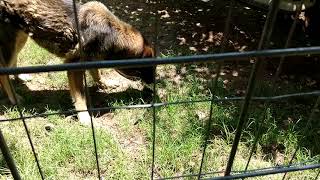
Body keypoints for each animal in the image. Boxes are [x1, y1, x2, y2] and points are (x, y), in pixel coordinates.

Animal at [0, 0, 155, 124]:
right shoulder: (74, 67)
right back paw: (14, 98)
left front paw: (105, 84)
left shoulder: (91, 61)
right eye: (148, 67)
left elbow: (97, 74)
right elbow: (80, 97)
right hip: (11, 43)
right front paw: (84, 117)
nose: (154, 84)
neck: (112, 33)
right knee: (3, 73)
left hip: (20, 38)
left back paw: (20, 77)